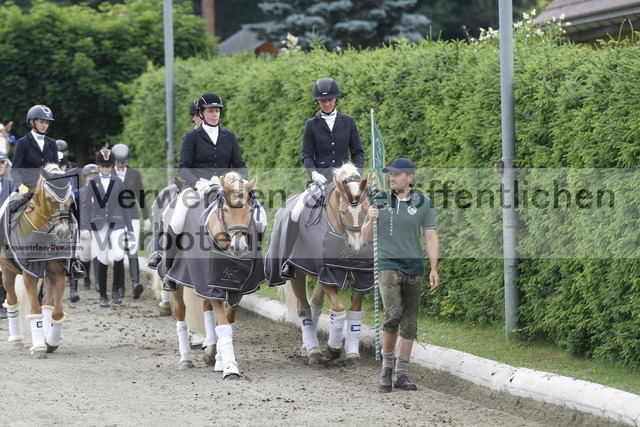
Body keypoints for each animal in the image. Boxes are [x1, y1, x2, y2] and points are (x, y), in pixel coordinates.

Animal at [0, 164, 78, 358]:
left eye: (71, 201)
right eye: (50, 199)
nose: (63, 233)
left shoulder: (58, 273)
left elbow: (56, 313)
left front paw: (50, 342)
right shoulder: (30, 274)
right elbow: (35, 311)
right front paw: (40, 348)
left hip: (48, 275)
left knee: (48, 305)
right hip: (7, 271)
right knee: (12, 300)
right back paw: (17, 340)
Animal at [266, 163, 372, 367]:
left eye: (365, 210)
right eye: (343, 212)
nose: (356, 247)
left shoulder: (360, 276)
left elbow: (355, 312)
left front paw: (352, 354)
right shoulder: (327, 274)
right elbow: (338, 309)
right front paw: (333, 349)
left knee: (315, 303)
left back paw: (308, 346)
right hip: (298, 273)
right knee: (304, 307)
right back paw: (313, 350)